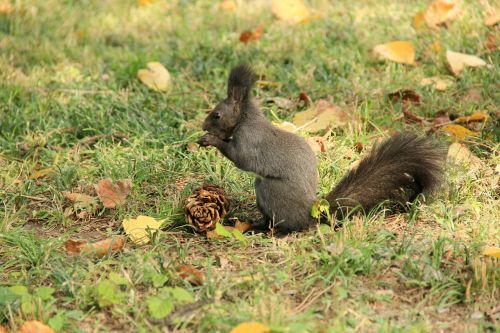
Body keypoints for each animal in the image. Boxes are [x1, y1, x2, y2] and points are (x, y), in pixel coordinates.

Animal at [197, 65, 444, 235]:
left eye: (216, 115)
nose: (203, 126)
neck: (246, 119)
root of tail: (312, 212)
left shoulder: (250, 139)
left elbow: (241, 159)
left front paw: (211, 140)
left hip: (271, 190)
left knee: (289, 223)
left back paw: (272, 232)